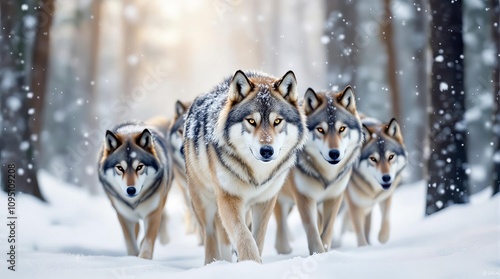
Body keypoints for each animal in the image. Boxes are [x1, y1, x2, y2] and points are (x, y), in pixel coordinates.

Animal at [97, 120, 174, 260]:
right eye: (120, 168)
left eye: (139, 167)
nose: (131, 190)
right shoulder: (124, 216)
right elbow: (131, 242)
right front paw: (132, 259)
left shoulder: (153, 213)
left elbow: (148, 241)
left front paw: (143, 260)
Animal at [185, 70, 308, 264]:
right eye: (251, 121)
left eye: (277, 121)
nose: (267, 150)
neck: (256, 174)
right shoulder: (228, 198)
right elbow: (243, 234)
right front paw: (250, 263)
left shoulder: (265, 201)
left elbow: (257, 237)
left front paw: (252, 264)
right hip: (204, 203)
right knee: (210, 235)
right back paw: (213, 263)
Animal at [274, 87, 364, 256]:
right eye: (320, 130)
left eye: (342, 129)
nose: (334, 153)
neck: (326, 175)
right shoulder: (304, 197)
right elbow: (312, 230)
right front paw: (318, 253)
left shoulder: (334, 198)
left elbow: (327, 230)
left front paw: (325, 252)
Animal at [342, 117, 408, 247]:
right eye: (373, 159)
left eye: (391, 157)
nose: (386, 178)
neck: (373, 191)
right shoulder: (355, 204)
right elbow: (359, 231)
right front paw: (364, 248)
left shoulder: (385, 198)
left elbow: (386, 220)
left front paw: (382, 238)